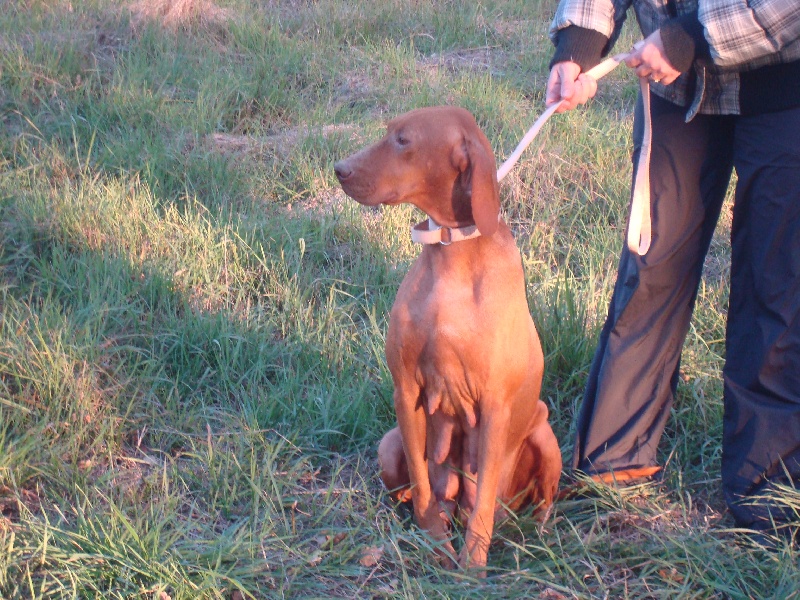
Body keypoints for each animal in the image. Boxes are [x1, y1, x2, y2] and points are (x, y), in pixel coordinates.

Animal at [334, 106, 560, 572]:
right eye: (388, 132)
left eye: (403, 140)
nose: (339, 169)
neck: (453, 253)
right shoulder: (405, 390)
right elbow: (422, 486)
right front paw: (434, 542)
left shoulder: (495, 407)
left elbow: (483, 504)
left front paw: (472, 566)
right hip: (389, 444)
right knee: (421, 489)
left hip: (545, 433)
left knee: (529, 501)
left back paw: (538, 530)